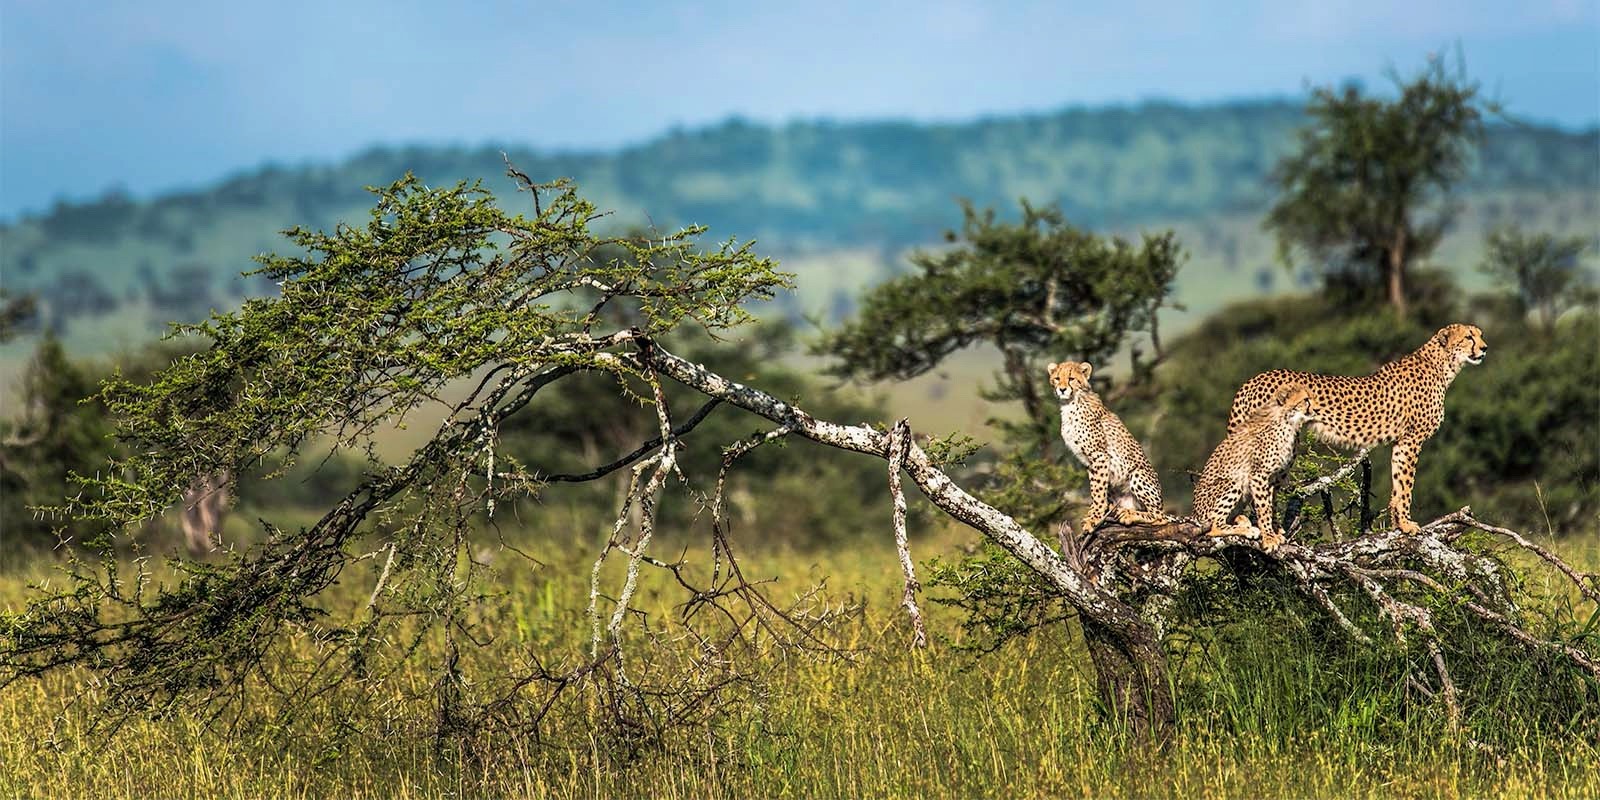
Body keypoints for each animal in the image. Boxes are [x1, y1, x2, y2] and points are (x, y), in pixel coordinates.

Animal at [1047, 361, 1166, 534]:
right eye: (1057, 378)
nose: (1062, 389)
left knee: (1160, 517)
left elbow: (1097, 491)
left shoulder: (1099, 455)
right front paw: (1094, 512)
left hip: (1138, 474)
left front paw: (1094, 517)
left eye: (1071, 379)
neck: (1070, 403)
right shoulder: (1088, 461)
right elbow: (1095, 488)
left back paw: (1128, 514)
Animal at [1193, 382, 1317, 551]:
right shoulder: (1259, 475)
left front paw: (1275, 532)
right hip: (1232, 483)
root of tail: (1194, 514)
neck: (1288, 422)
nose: (1316, 410)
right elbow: (1264, 508)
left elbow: (1271, 505)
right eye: (1306, 400)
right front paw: (1269, 538)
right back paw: (1248, 529)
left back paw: (1243, 520)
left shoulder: (1274, 478)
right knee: (1214, 525)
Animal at [1227, 323, 1487, 535]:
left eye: (1480, 335)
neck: (1442, 365)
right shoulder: (1412, 439)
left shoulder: (1400, 443)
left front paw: (1396, 524)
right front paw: (1406, 524)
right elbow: (1406, 485)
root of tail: (1254, 379)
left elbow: (1397, 484)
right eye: (1468, 337)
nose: (1485, 348)